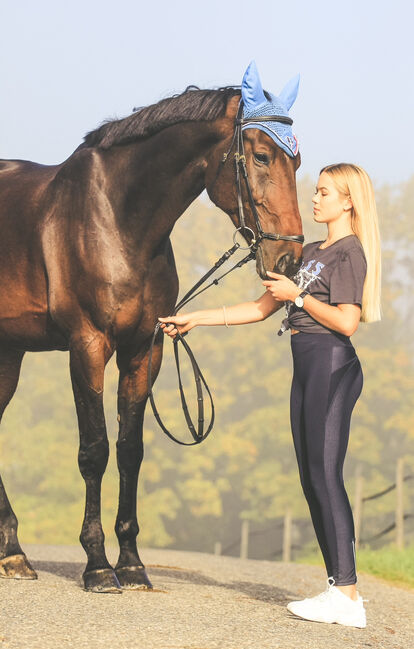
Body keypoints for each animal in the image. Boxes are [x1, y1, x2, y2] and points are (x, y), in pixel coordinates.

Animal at [0, 83, 304, 588]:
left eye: (296, 163)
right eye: (261, 156)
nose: (289, 261)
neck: (119, 220)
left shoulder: (145, 347)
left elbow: (130, 450)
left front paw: (131, 563)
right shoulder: (88, 346)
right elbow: (95, 449)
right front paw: (98, 566)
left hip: (10, 352)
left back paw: (14, 554)